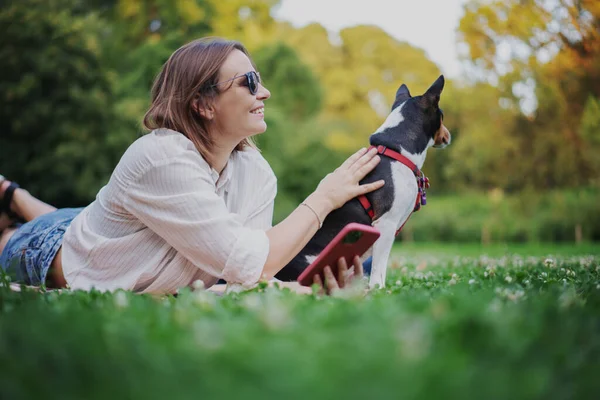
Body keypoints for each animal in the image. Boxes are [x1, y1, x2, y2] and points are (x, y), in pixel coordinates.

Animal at [276, 75, 450, 288]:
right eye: (442, 115)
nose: (448, 135)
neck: (397, 152)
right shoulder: (385, 224)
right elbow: (379, 270)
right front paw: (379, 290)